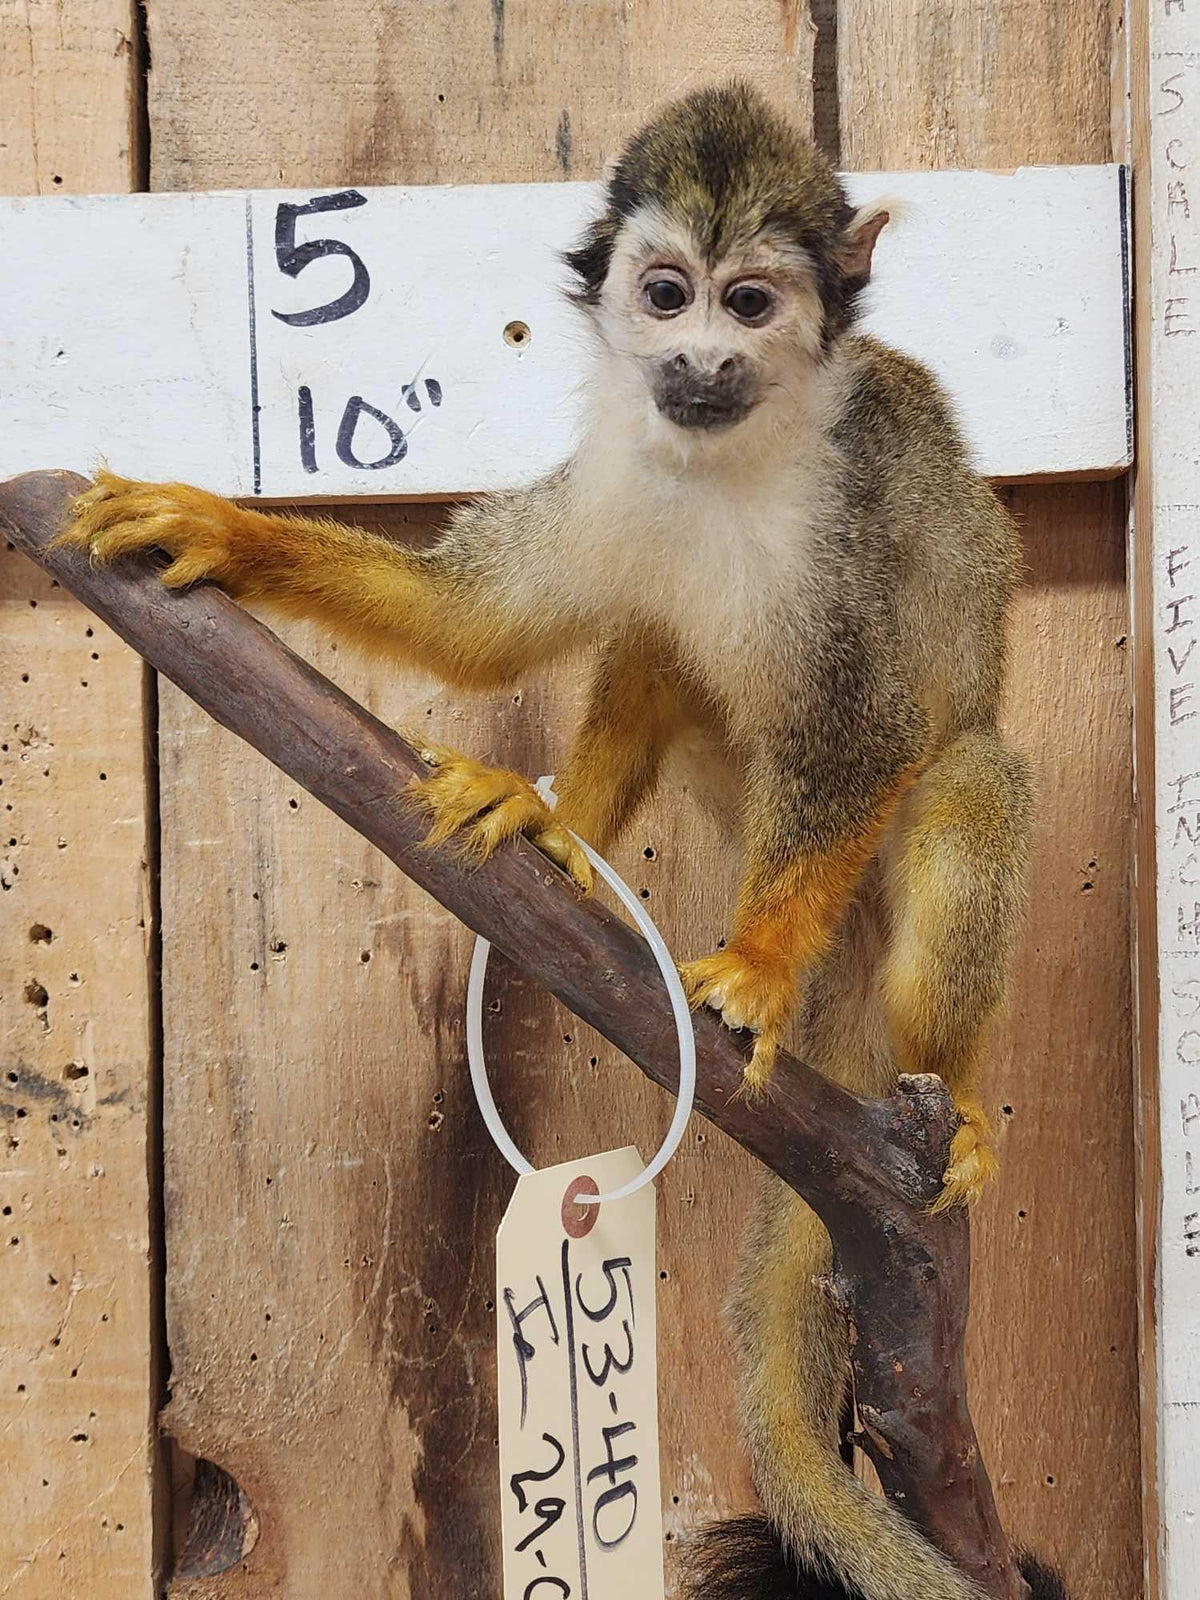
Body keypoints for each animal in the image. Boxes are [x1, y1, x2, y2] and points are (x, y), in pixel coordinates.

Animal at [60, 82, 1063, 1600]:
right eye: (667, 293)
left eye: (751, 301)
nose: (699, 359)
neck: (723, 461)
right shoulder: (620, 471)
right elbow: (487, 622)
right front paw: (225, 533)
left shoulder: (851, 524)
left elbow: (873, 724)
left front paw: (756, 967)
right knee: (653, 636)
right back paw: (557, 824)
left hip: (870, 908)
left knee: (962, 780)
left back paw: (943, 1085)